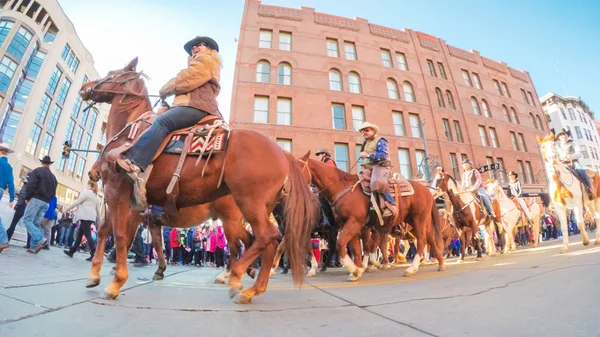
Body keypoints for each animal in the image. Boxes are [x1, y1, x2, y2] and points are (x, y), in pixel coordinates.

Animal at [81, 57, 322, 302]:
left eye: (111, 74)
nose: (85, 87)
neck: (129, 136)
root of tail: (282, 153)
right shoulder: (134, 208)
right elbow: (112, 232)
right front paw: (96, 274)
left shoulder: (118, 193)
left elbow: (120, 235)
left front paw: (115, 281)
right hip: (254, 209)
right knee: (263, 241)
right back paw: (251, 287)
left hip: (247, 205)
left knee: (262, 237)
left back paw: (237, 276)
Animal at [298, 154, 442, 280]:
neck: (343, 187)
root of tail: (427, 191)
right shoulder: (353, 226)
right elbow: (357, 249)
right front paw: (357, 270)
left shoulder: (356, 224)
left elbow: (344, 244)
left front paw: (357, 269)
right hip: (418, 221)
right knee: (431, 239)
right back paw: (440, 263)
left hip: (419, 220)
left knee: (422, 241)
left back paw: (411, 268)